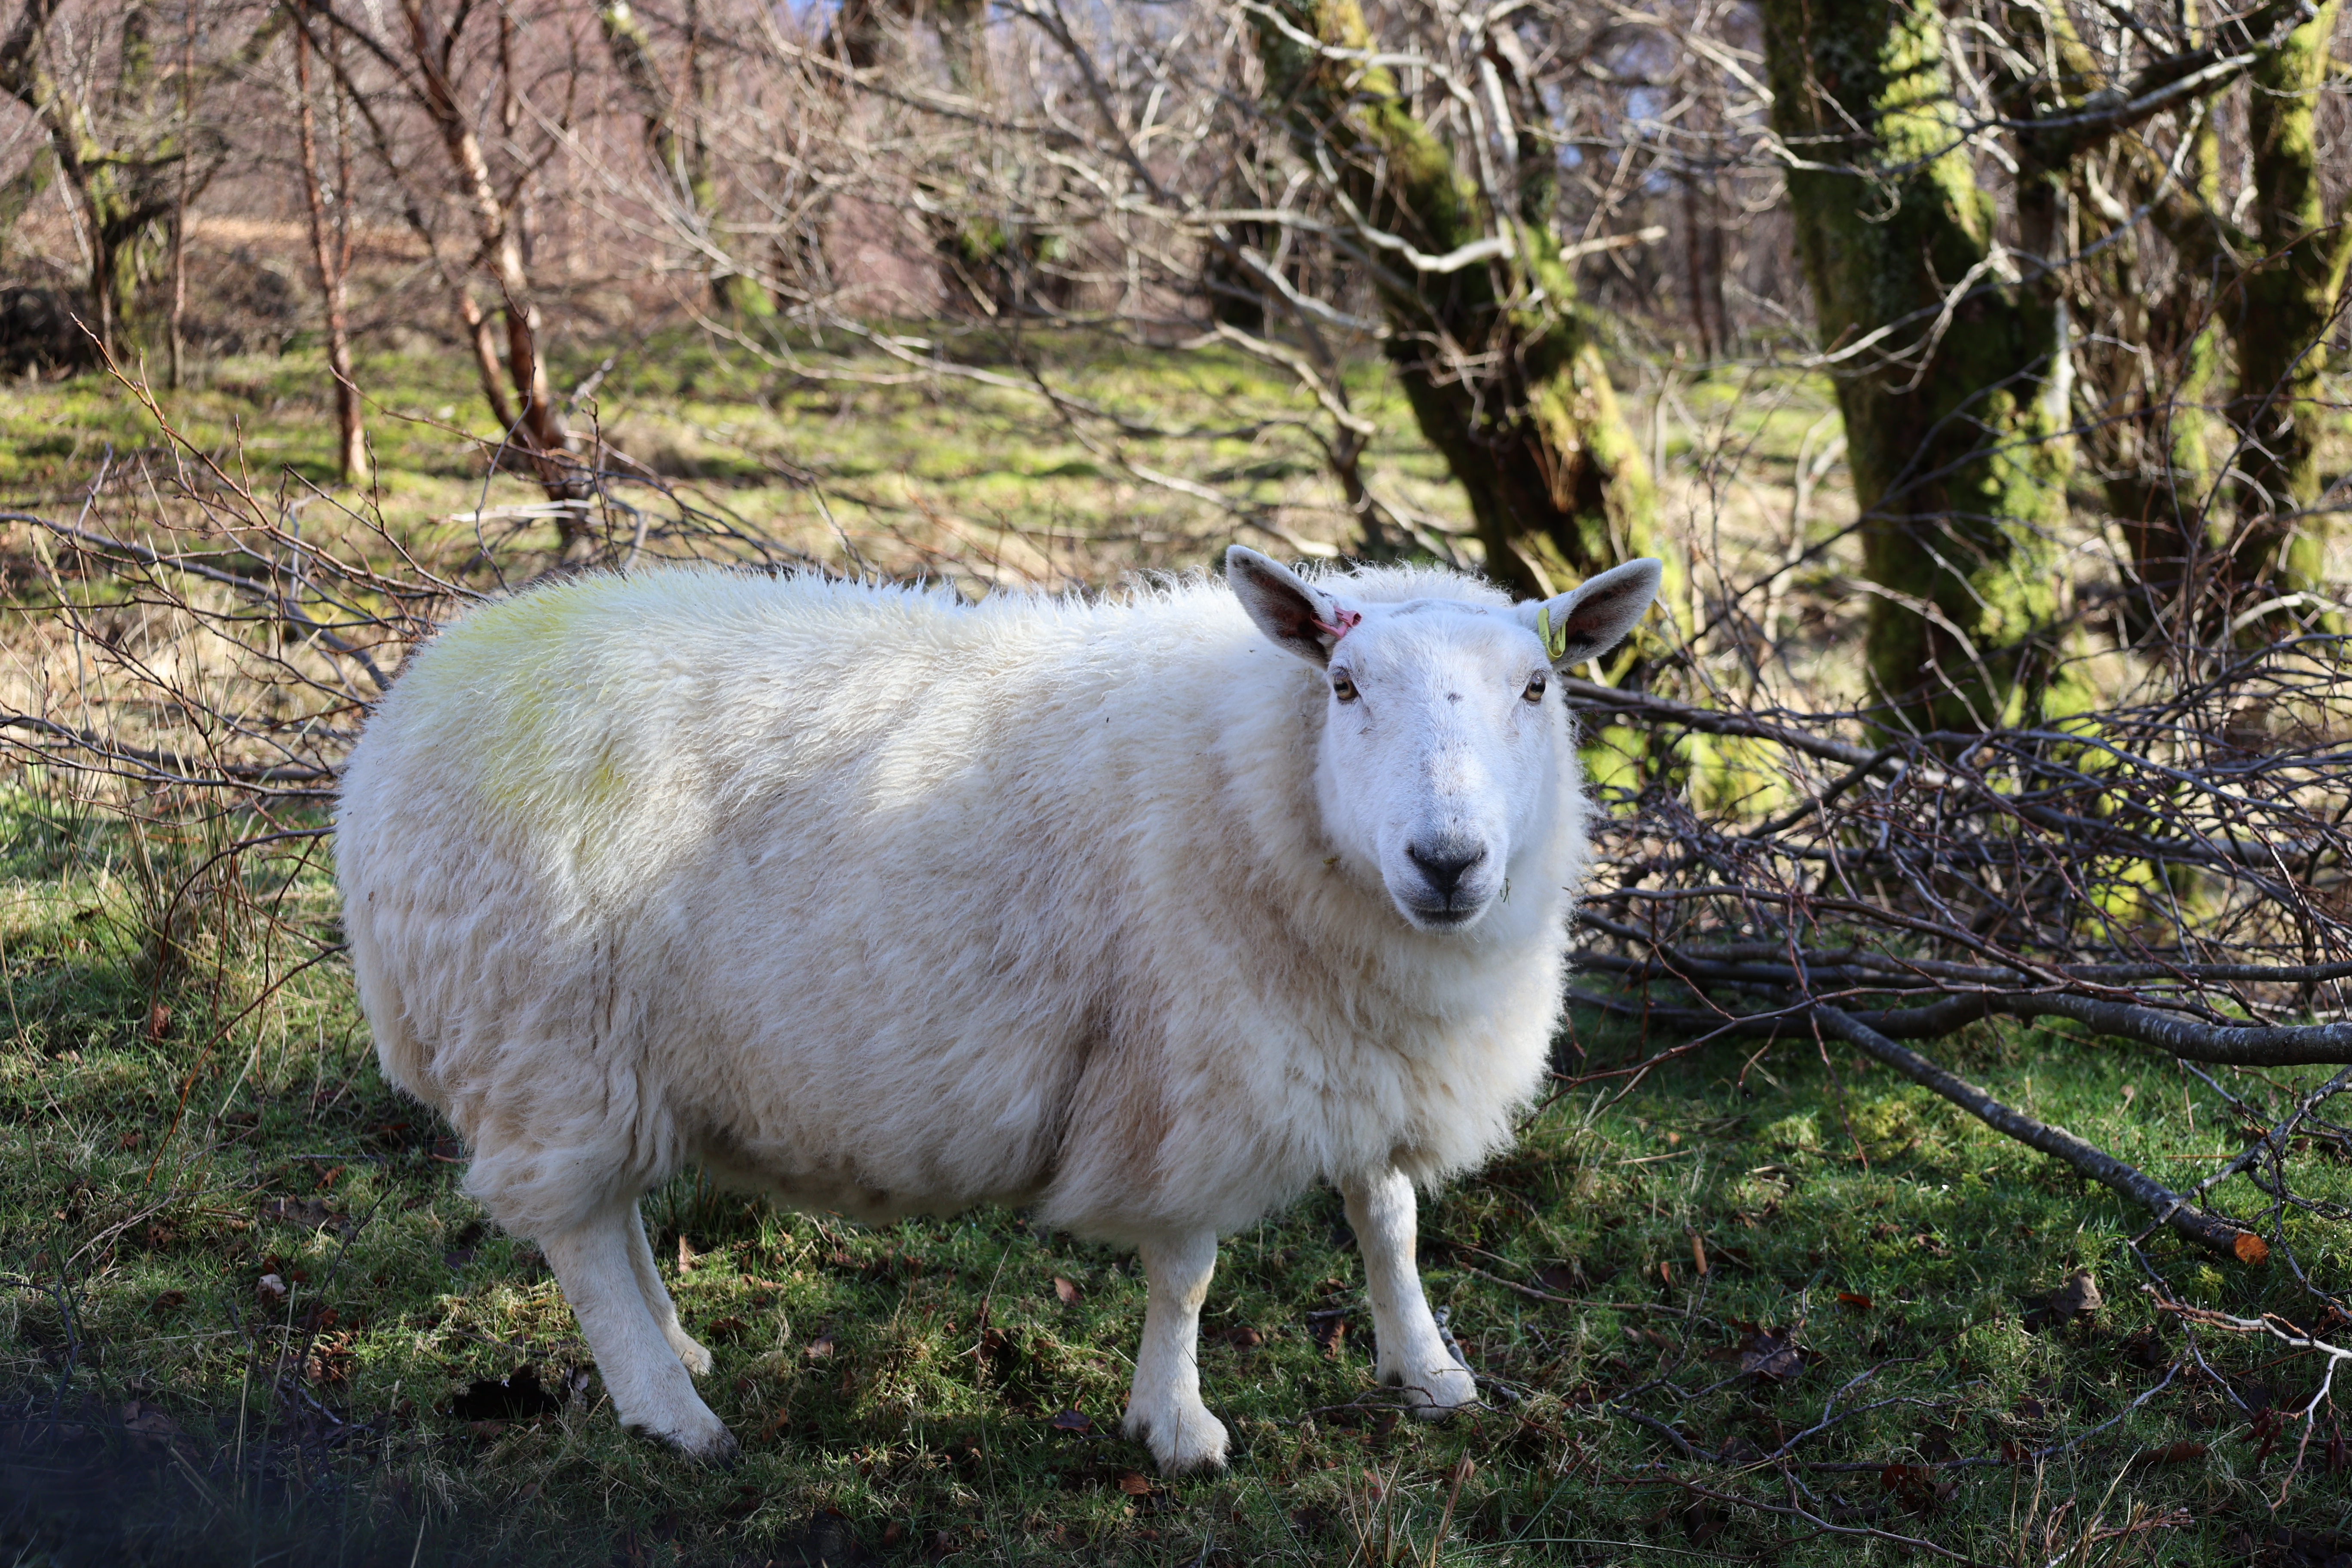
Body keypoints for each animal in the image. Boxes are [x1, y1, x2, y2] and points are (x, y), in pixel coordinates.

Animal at [331, 543, 1665, 1476]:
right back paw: (672, 1411)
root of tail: (399, 721)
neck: (1255, 783)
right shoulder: (1181, 1075)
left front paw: (1427, 1369)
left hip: (607, 1057)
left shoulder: (1356, 1049)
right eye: (1342, 685)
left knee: (614, 1215)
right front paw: (1175, 1425)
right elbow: (1187, 1272)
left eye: (1537, 686)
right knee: (578, 1238)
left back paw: (676, 1343)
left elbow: (1387, 1219)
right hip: (543, 1036)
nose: (1448, 861)